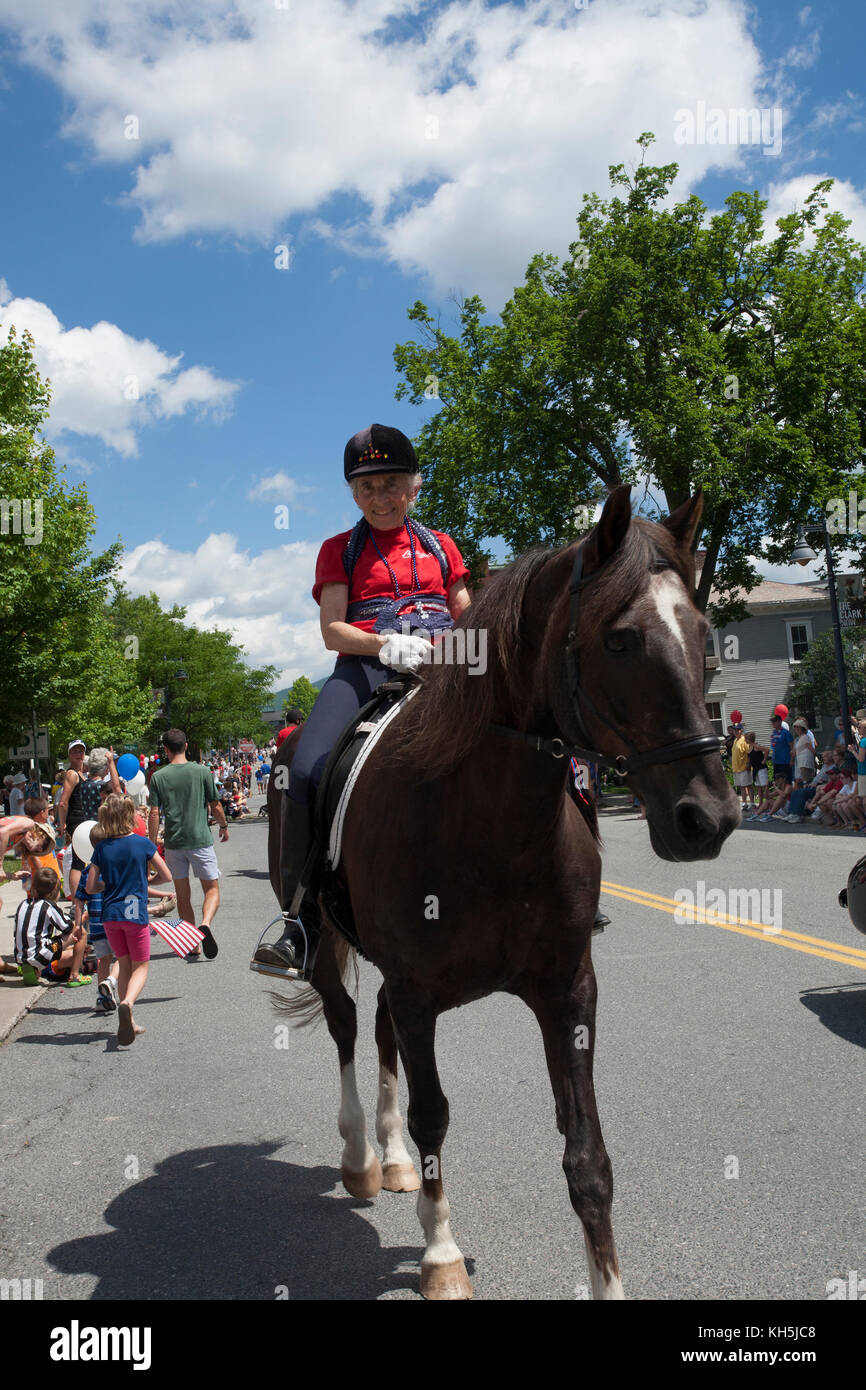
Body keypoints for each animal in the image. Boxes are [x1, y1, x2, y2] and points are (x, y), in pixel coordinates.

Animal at [265, 483, 739, 1295]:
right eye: (620, 639)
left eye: (704, 632)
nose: (707, 818)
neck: (489, 817)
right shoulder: (420, 990)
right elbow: (434, 1115)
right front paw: (440, 1255)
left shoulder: (567, 989)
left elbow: (588, 1154)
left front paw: (607, 1279)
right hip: (325, 947)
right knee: (348, 1027)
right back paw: (362, 1158)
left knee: (378, 1029)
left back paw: (390, 1160)